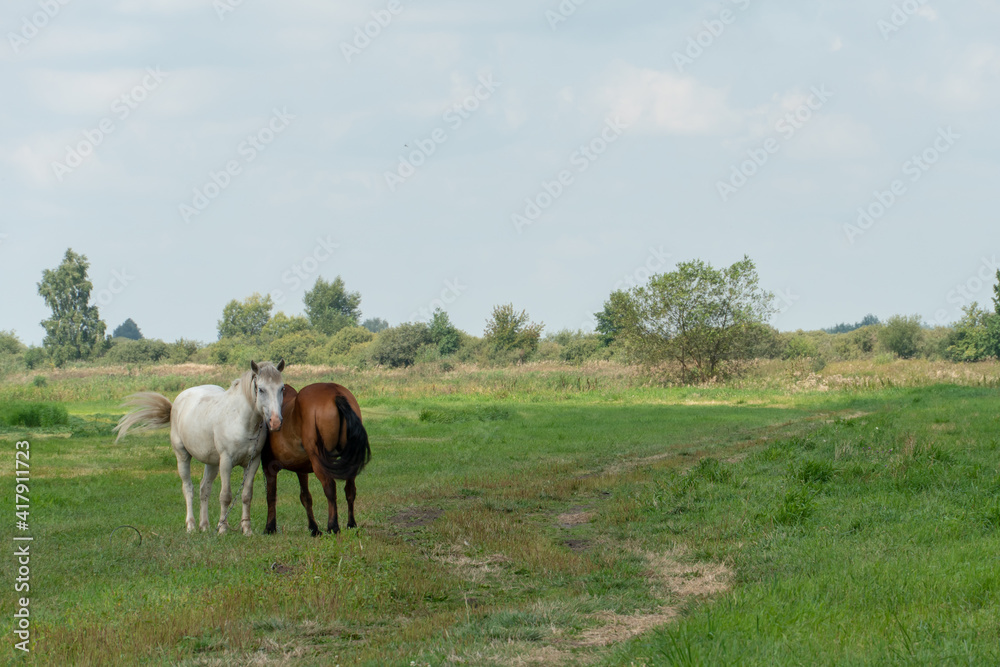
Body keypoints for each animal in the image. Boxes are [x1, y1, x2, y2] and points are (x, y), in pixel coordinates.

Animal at [114, 362, 286, 536]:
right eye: (261, 389)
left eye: (282, 388)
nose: (276, 421)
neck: (241, 421)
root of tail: (177, 403)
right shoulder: (226, 462)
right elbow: (225, 496)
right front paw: (222, 528)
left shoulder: (253, 462)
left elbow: (246, 495)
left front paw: (247, 529)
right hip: (183, 456)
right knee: (188, 489)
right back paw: (191, 525)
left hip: (212, 463)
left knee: (205, 489)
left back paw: (204, 525)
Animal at [264, 384, 374, 536]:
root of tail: (335, 393)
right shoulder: (301, 469)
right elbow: (305, 497)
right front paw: (313, 528)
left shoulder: (269, 467)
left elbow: (271, 496)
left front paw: (270, 527)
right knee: (350, 490)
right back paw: (351, 524)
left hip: (319, 462)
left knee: (330, 488)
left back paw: (333, 526)